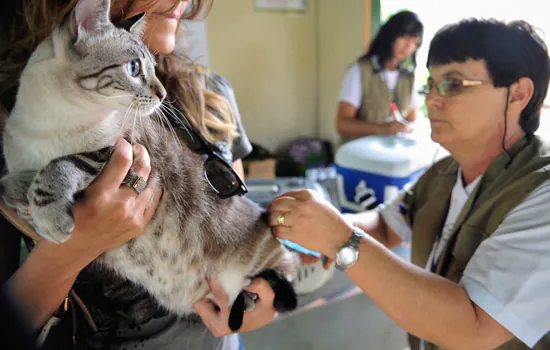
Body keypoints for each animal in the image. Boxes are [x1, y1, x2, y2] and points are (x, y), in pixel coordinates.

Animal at [0, 0, 298, 330]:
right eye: (134, 68)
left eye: (154, 69)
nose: (163, 94)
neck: (53, 122)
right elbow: (11, 186)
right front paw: (26, 199)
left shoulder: (122, 151)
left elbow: (61, 165)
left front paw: (49, 214)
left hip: (265, 268)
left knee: (285, 278)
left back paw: (250, 297)